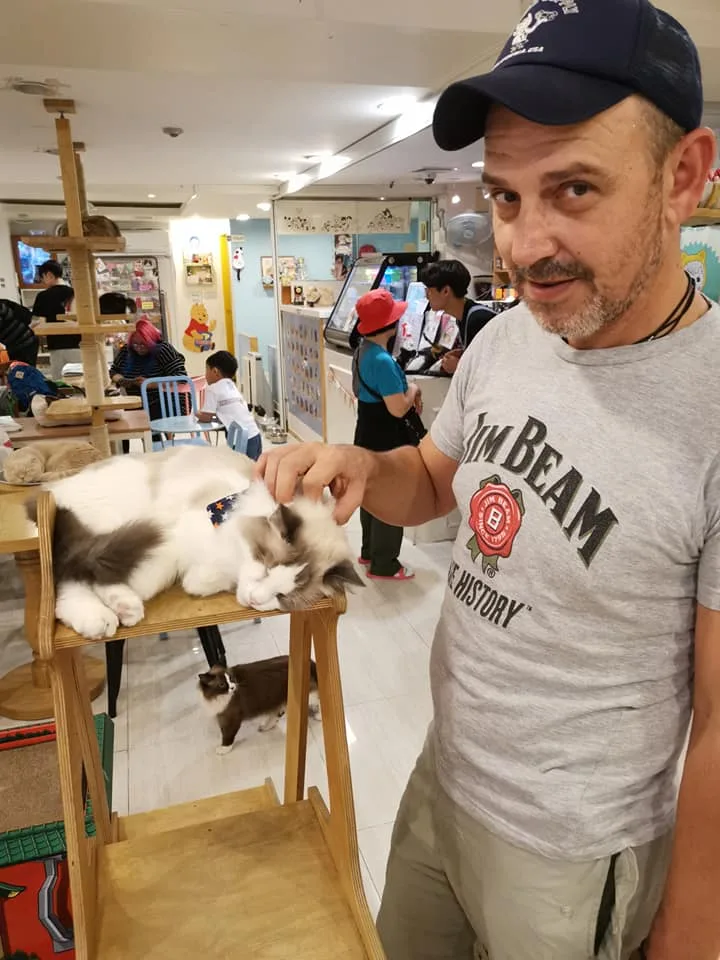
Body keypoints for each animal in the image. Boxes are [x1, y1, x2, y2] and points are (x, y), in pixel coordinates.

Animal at [28, 445, 363, 640]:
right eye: (266, 566)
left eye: (284, 597)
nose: (256, 601)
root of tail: (50, 490)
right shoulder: (167, 537)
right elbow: (145, 579)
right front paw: (120, 601)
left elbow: (192, 582)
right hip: (114, 519)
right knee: (68, 573)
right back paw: (98, 618)